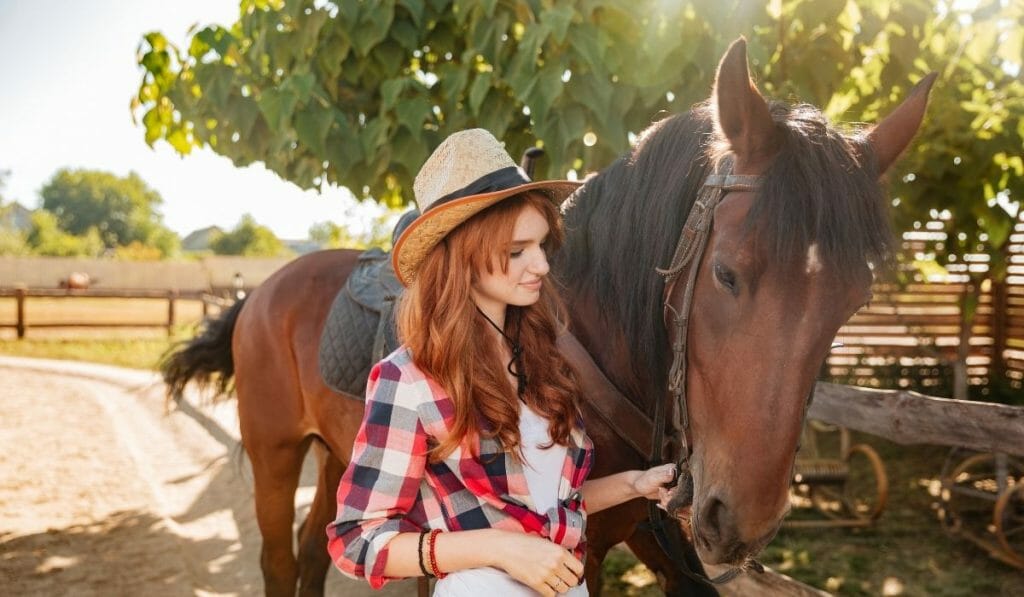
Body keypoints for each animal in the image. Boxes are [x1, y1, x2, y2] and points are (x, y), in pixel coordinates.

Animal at [162, 38, 933, 596]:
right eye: (727, 273)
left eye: (851, 302)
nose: (739, 522)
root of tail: (264, 291)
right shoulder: (582, 549)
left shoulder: (654, 535)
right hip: (275, 455)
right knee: (281, 560)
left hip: (335, 455)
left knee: (316, 553)